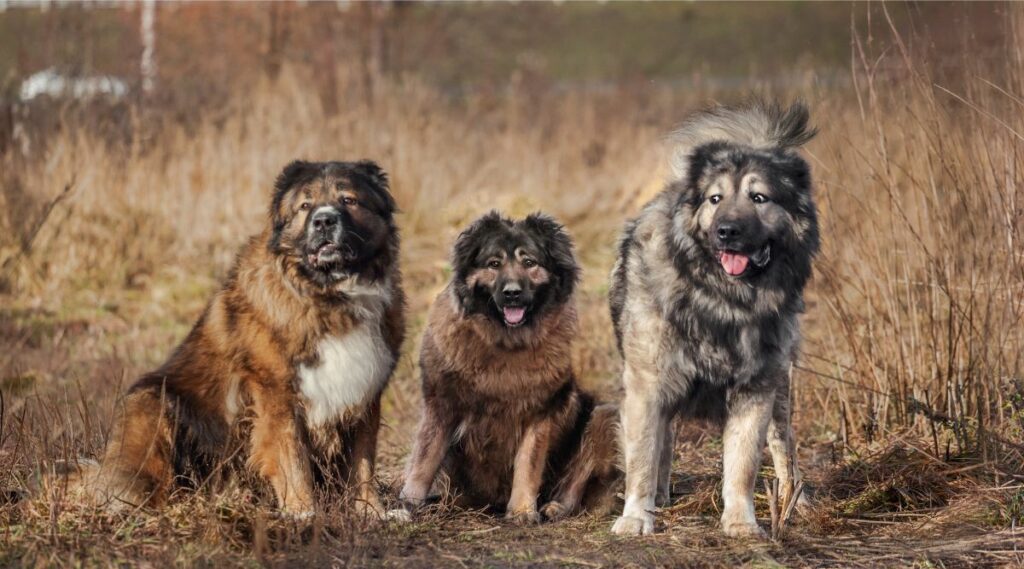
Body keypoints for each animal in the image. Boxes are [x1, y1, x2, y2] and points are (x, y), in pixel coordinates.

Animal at [77, 158, 403, 515]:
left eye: (348, 200)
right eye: (305, 206)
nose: (323, 220)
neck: (327, 295)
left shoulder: (363, 392)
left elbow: (363, 463)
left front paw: (373, 512)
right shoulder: (277, 395)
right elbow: (293, 458)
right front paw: (304, 512)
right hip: (151, 401)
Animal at [393, 211, 614, 523]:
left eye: (529, 262)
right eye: (494, 264)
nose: (512, 293)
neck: (505, 341)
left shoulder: (539, 413)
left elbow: (528, 464)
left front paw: (522, 510)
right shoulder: (441, 406)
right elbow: (423, 462)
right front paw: (406, 506)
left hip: (603, 417)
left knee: (574, 483)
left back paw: (554, 507)